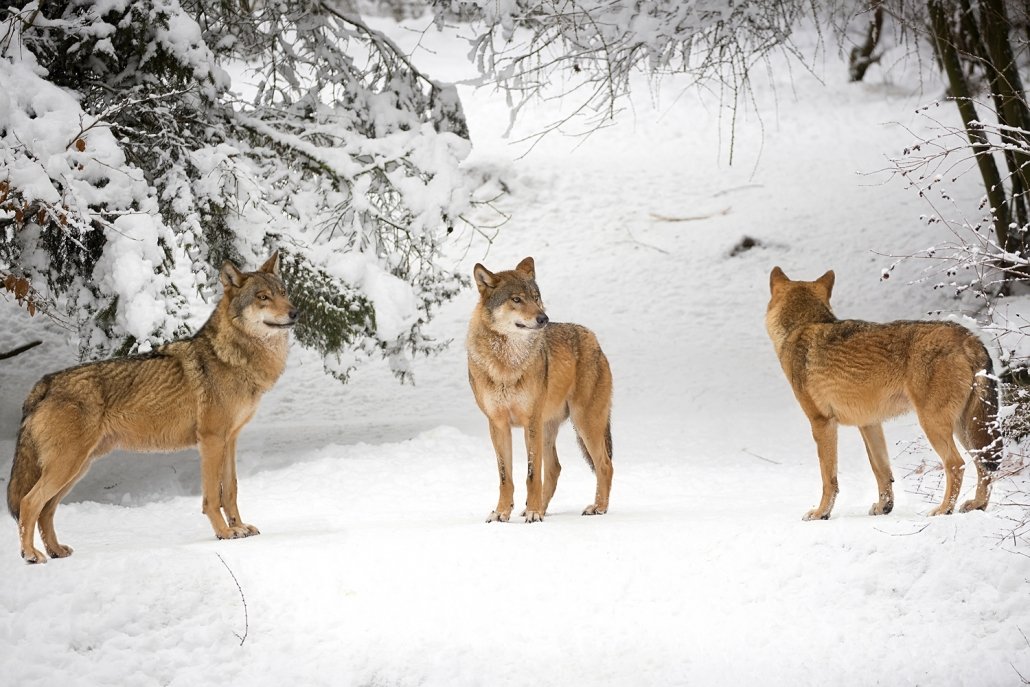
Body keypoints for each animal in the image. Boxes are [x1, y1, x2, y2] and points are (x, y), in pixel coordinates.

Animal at [7, 252, 298, 564]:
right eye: (263, 297)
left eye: (283, 293)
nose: (295, 313)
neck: (232, 357)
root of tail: (44, 384)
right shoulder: (210, 441)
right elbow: (212, 497)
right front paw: (224, 533)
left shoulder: (230, 440)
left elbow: (230, 490)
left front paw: (239, 527)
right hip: (67, 466)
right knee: (29, 503)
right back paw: (31, 555)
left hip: (76, 468)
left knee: (46, 510)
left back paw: (56, 550)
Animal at [465, 256, 609, 521]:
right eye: (516, 299)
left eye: (535, 297)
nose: (544, 319)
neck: (507, 364)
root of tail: (594, 339)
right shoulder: (498, 424)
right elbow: (506, 477)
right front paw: (502, 512)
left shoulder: (530, 421)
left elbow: (532, 475)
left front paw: (532, 513)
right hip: (549, 427)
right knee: (554, 468)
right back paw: (541, 509)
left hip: (584, 423)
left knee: (604, 464)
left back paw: (598, 507)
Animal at [770, 265, 1001, 519]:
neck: (801, 327)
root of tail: (969, 338)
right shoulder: (869, 424)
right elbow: (881, 470)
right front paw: (884, 507)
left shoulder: (822, 423)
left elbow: (828, 478)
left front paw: (821, 513)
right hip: (966, 428)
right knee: (984, 464)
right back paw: (977, 505)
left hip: (934, 424)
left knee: (956, 463)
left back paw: (943, 510)